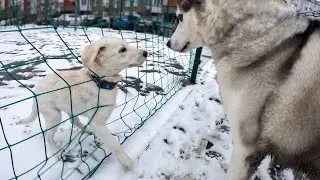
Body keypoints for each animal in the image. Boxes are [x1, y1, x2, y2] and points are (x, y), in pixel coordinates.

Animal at [17, 37, 148, 170]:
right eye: (122, 49)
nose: (145, 53)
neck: (100, 82)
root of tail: (36, 91)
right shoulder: (97, 123)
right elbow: (113, 143)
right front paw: (127, 162)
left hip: (70, 108)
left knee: (74, 121)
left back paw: (87, 130)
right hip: (54, 115)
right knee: (48, 136)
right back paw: (57, 153)